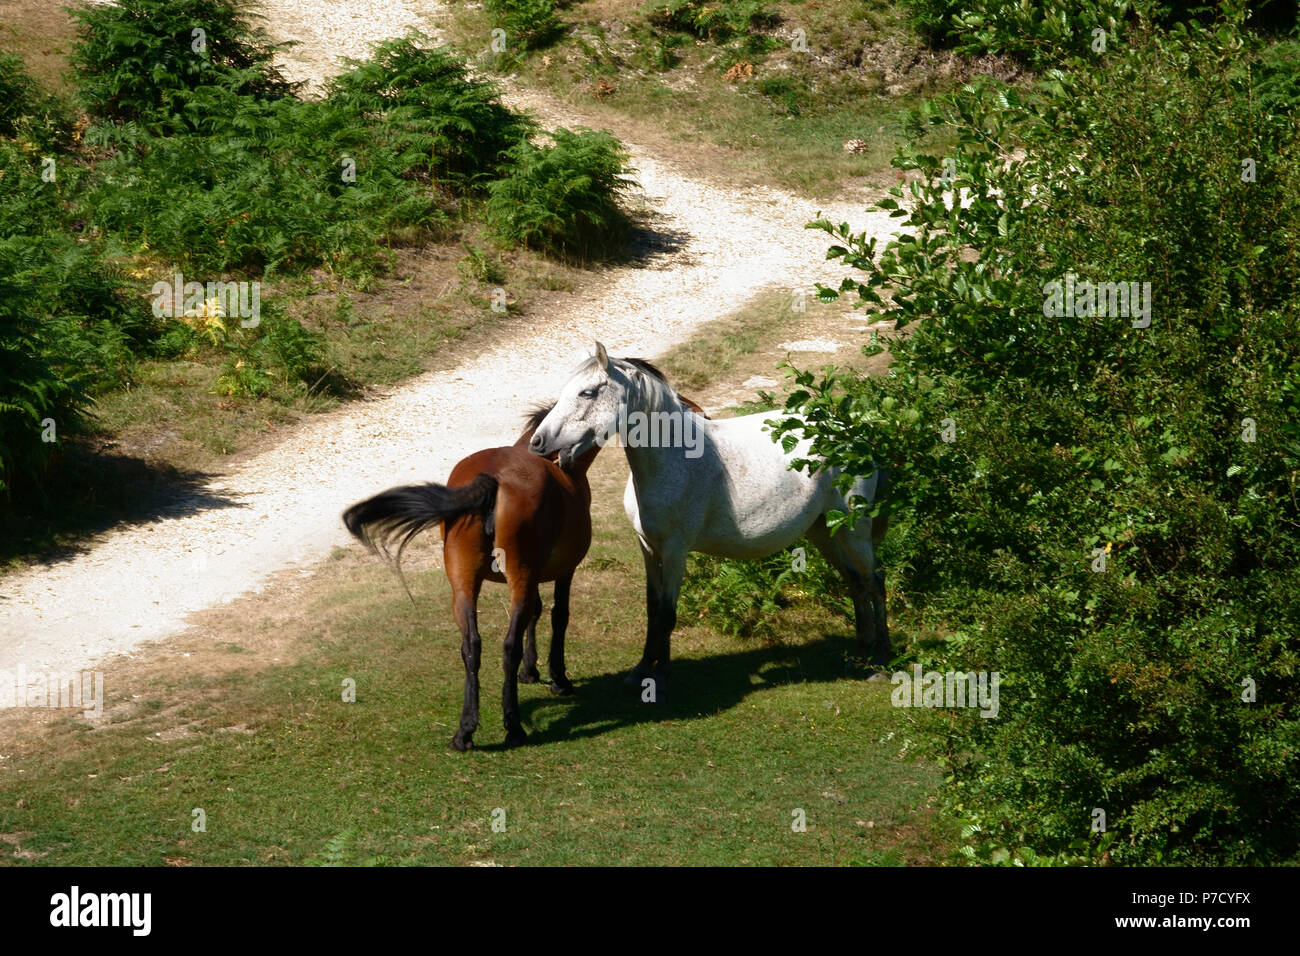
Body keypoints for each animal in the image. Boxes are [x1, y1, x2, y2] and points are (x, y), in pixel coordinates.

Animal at [335, 361, 702, 749]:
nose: (696, 413)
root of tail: (492, 481)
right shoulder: (563, 570)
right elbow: (557, 616)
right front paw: (557, 677)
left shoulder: (532, 574)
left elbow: (534, 614)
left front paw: (531, 669)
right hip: (515, 576)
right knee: (506, 645)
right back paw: (512, 724)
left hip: (466, 582)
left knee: (472, 646)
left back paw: (466, 730)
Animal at [527, 340, 883, 686]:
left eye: (587, 392)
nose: (538, 442)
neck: (674, 458)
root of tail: (852, 432)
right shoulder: (648, 548)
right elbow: (653, 608)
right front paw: (641, 670)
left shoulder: (675, 551)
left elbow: (668, 612)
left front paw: (660, 676)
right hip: (825, 531)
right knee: (855, 581)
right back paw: (862, 653)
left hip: (854, 531)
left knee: (874, 580)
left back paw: (881, 660)